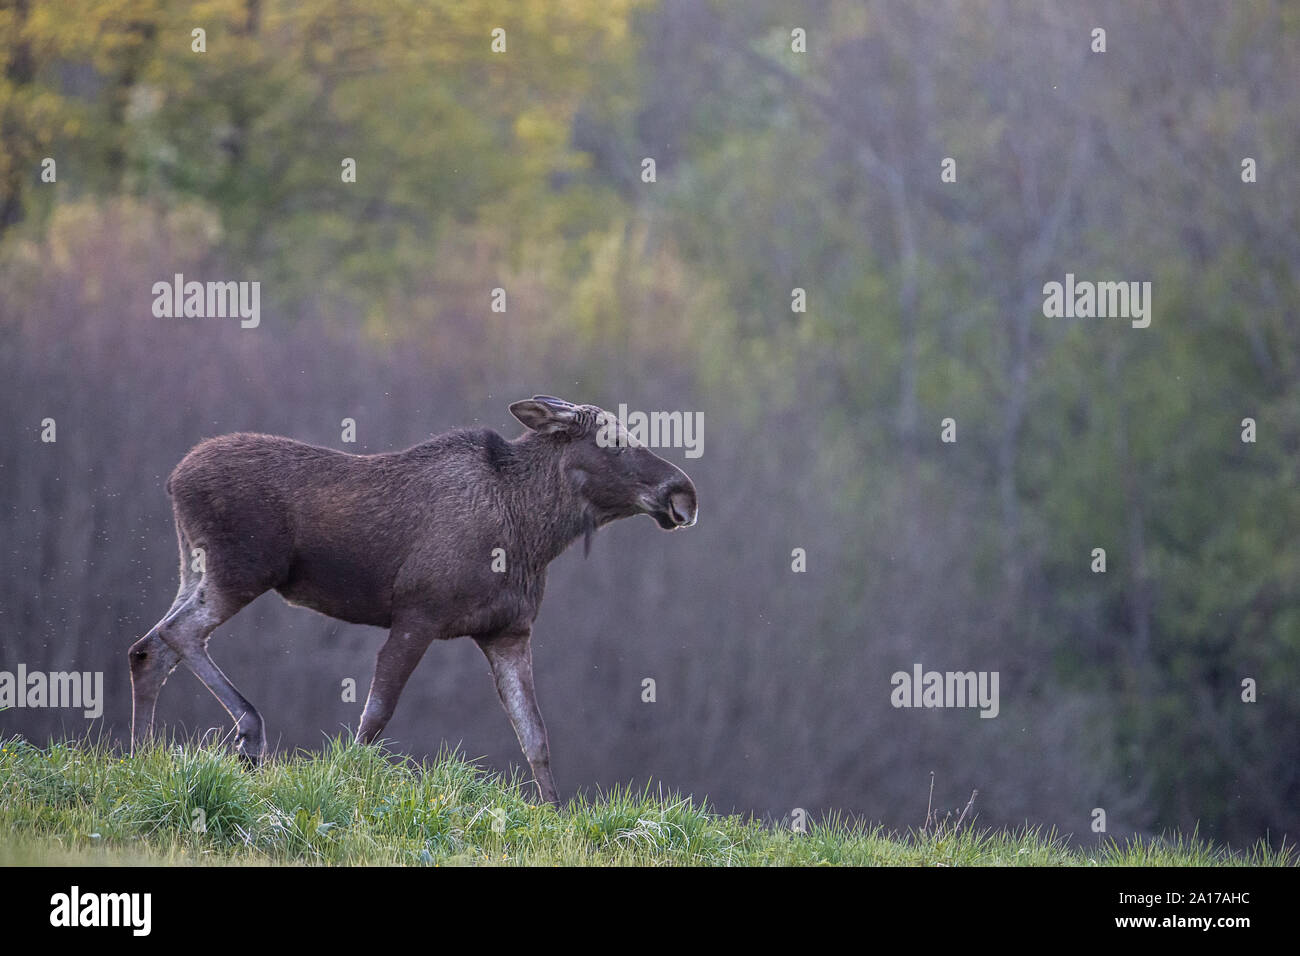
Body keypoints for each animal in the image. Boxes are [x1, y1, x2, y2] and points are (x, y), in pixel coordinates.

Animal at [129, 398, 702, 806]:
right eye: (614, 440)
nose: (684, 492)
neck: (534, 532)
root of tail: (173, 479)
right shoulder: (417, 614)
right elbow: (375, 716)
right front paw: (344, 782)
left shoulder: (508, 632)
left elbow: (535, 735)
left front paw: (556, 814)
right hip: (242, 570)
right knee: (176, 635)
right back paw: (248, 732)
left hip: (196, 569)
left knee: (148, 648)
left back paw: (141, 756)